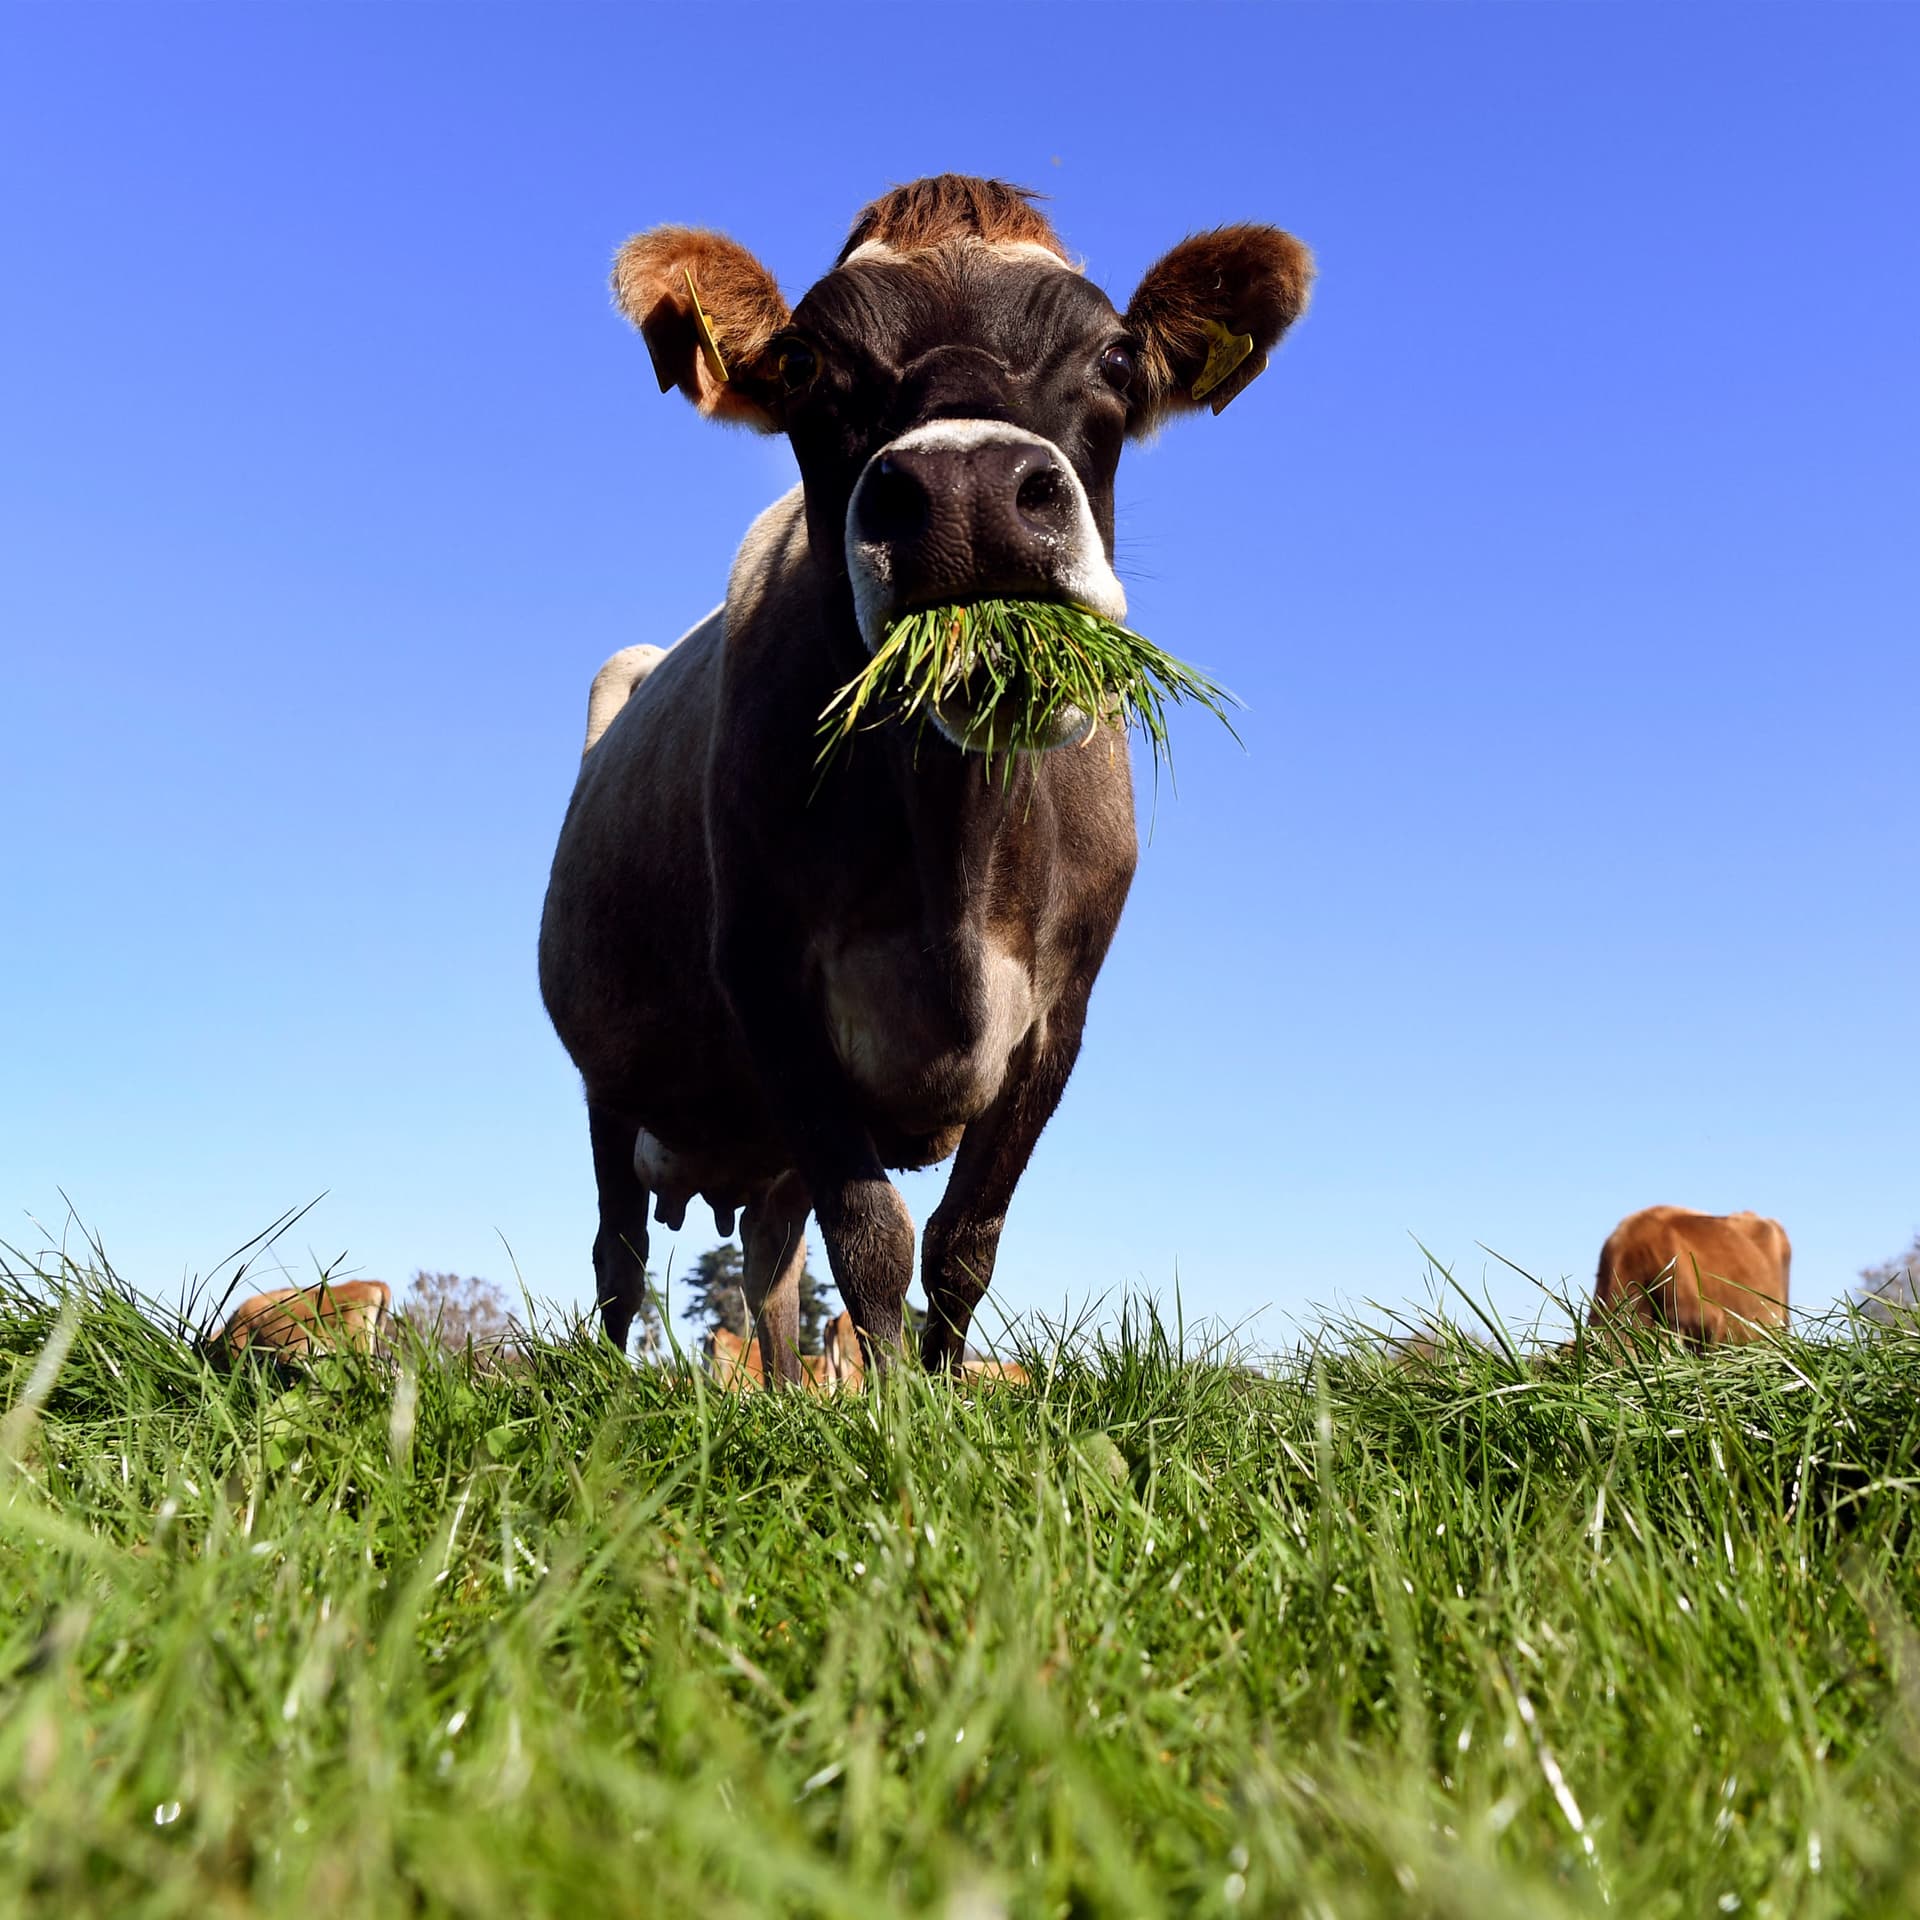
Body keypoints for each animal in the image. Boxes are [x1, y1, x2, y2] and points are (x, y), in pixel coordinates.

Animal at [539, 175, 1314, 1383]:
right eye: (803, 362)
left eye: (1117, 356)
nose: (967, 491)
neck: (956, 855)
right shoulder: (765, 979)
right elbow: (873, 1235)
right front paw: (897, 1409)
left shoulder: (1059, 1013)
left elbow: (962, 1240)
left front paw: (943, 1400)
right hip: (609, 1086)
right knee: (617, 1254)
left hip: (758, 1147)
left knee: (768, 1259)